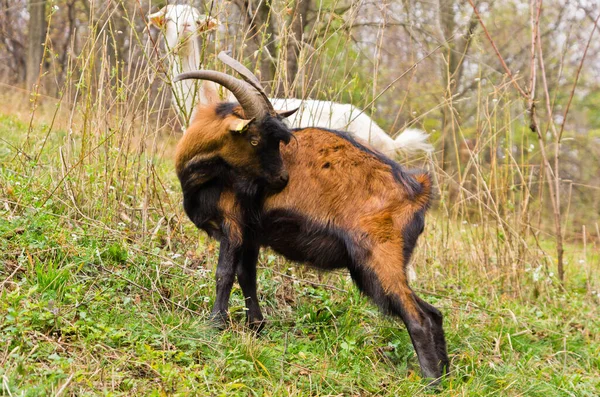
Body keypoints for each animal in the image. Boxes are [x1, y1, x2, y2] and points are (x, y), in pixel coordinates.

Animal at [172, 53, 446, 380]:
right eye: (255, 139)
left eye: (275, 140)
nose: (281, 179)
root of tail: (417, 190)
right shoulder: (251, 235)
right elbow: (246, 276)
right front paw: (256, 328)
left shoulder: (233, 225)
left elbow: (224, 274)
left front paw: (215, 325)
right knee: (434, 313)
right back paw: (446, 375)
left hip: (379, 261)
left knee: (419, 317)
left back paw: (431, 382)